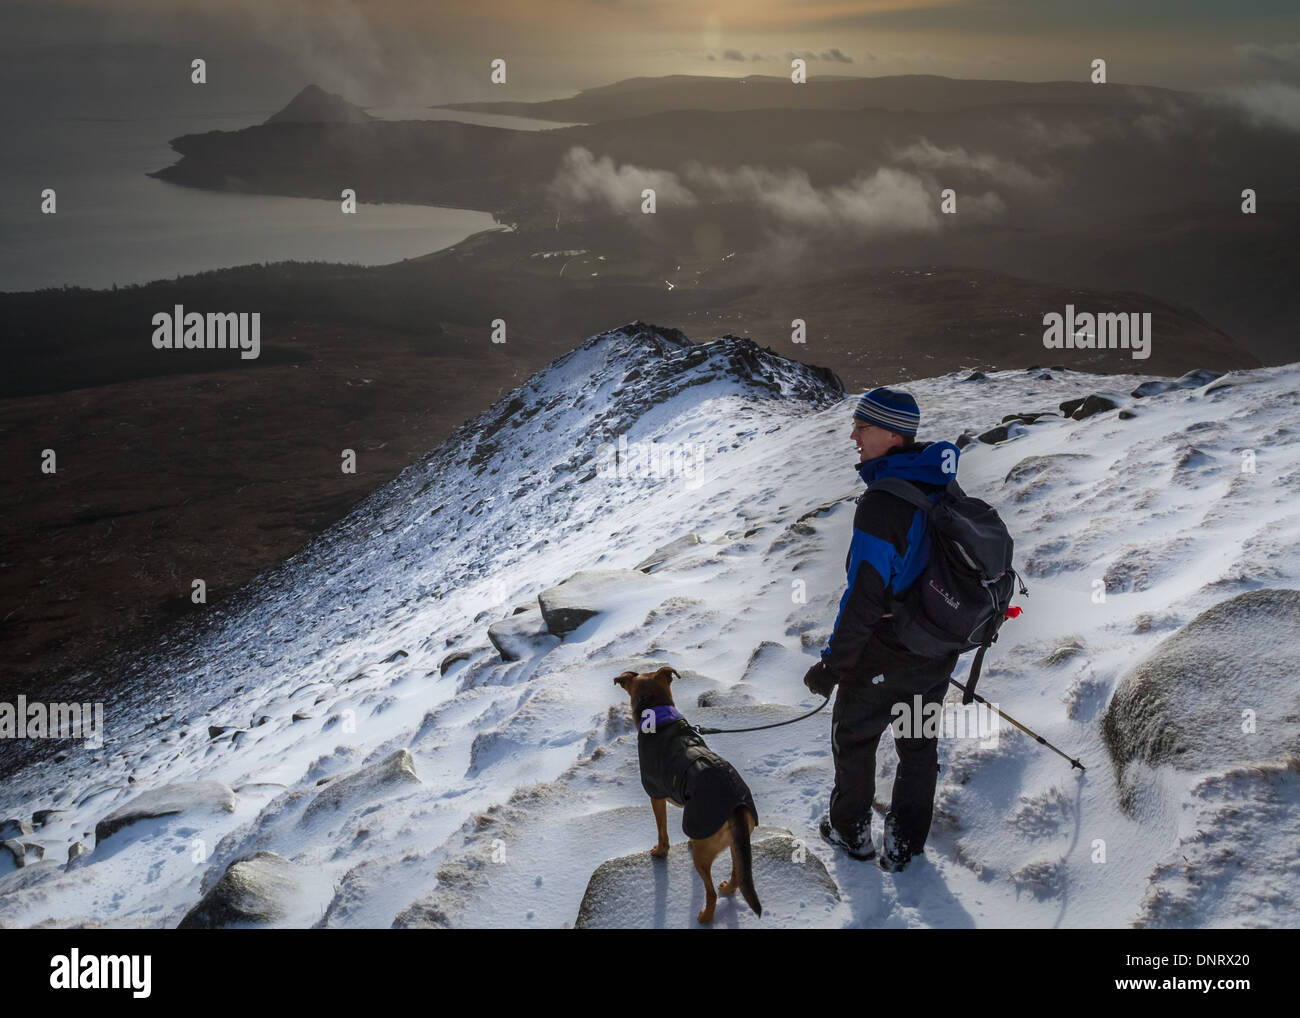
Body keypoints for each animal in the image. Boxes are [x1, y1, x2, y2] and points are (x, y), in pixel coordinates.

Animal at [611, 665, 759, 925]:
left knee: (710, 892)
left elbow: (662, 830)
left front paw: (661, 852)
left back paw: (706, 916)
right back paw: (728, 888)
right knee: (738, 872)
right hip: (736, 841)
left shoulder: (656, 794)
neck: (657, 714)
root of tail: (736, 806)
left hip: (703, 855)